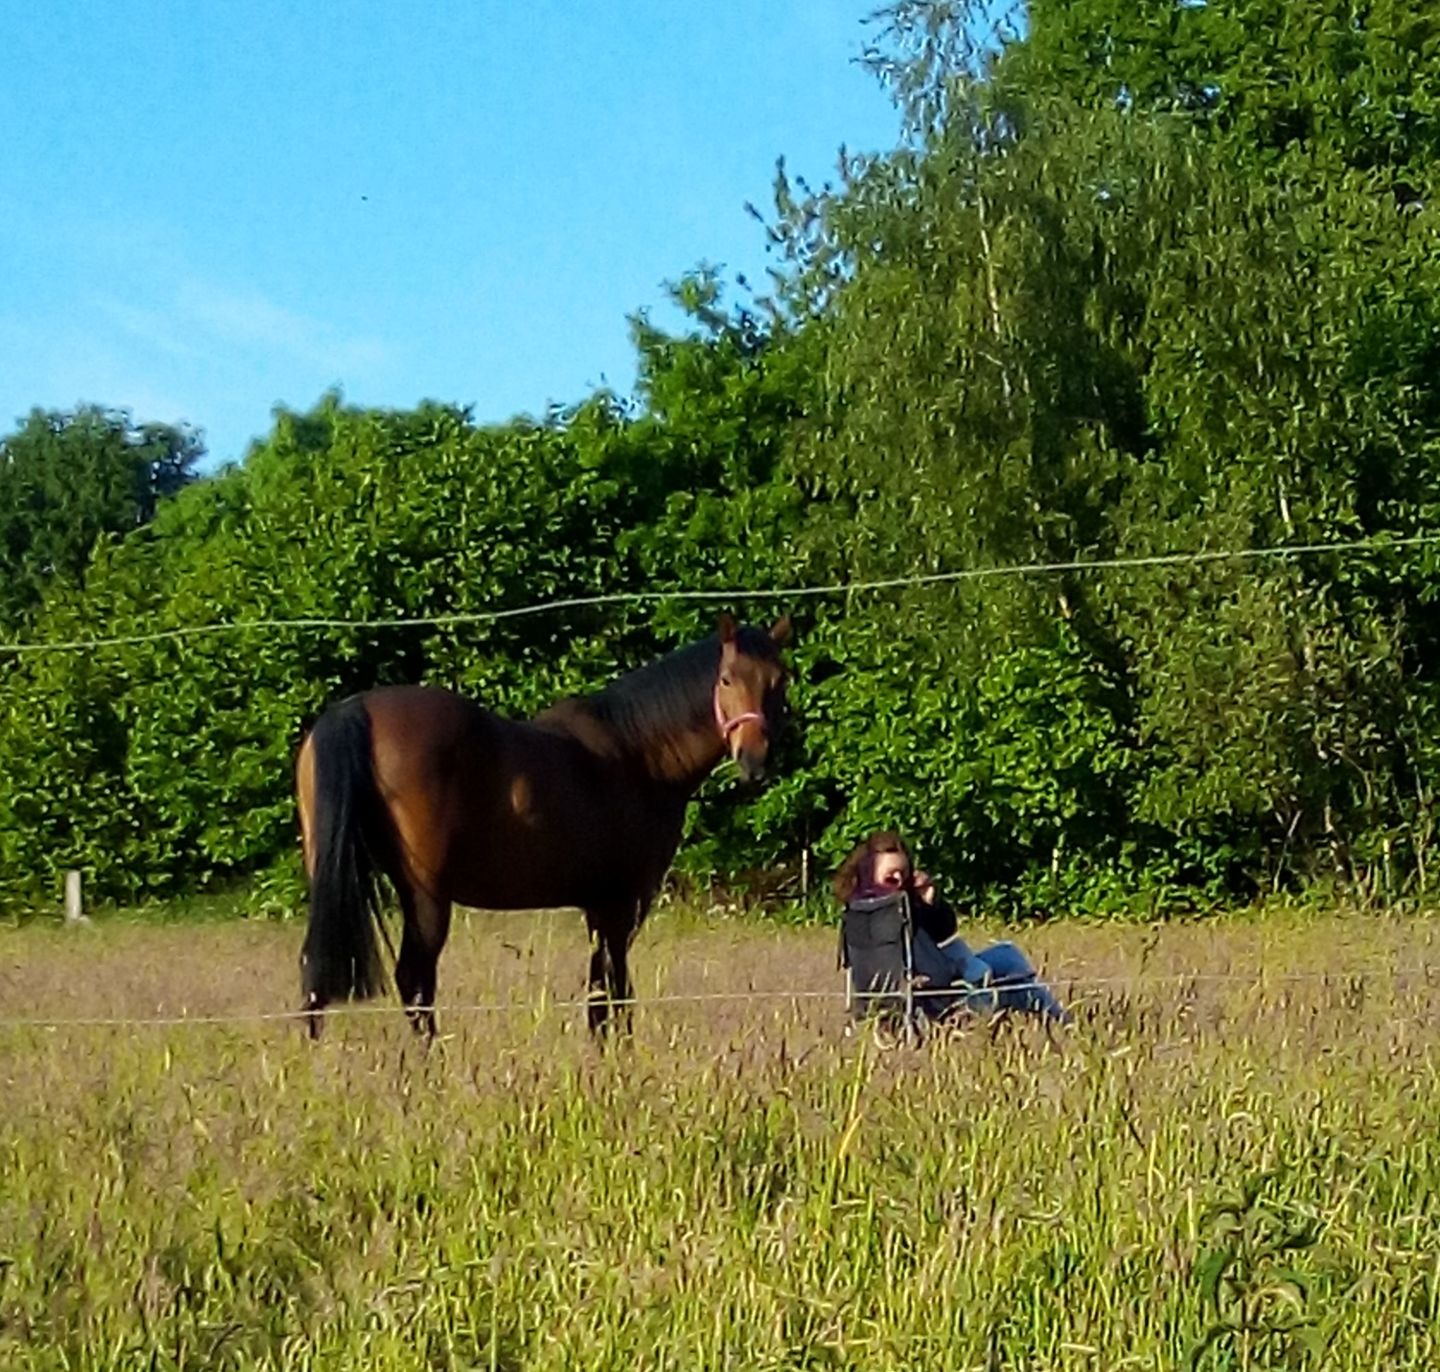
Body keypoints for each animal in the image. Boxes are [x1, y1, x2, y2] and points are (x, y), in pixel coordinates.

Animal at [294, 613, 791, 1038]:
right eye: (726, 679)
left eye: (778, 681)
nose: (754, 759)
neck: (638, 755)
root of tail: (356, 709)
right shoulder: (623, 904)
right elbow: (615, 995)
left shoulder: (598, 908)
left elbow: (600, 997)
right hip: (425, 897)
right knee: (415, 983)